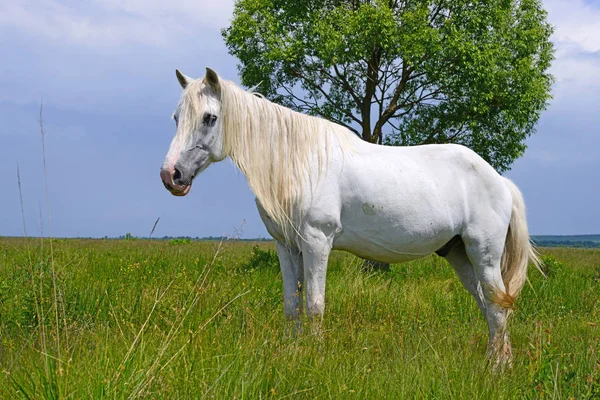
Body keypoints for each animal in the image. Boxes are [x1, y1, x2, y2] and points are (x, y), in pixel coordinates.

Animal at [161, 68, 544, 362]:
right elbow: (291, 305)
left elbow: (314, 305)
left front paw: (313, 359)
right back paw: (499, 361)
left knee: (496, 306)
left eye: (209, 118)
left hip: (484, 254)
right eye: (177, 118)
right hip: (458, 254)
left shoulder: (317, 242)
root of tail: (500, 180)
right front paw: (293, 355)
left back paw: (495, 368)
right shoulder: (287, 246)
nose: (171, 175)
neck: (300, 162)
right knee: (489, 307)